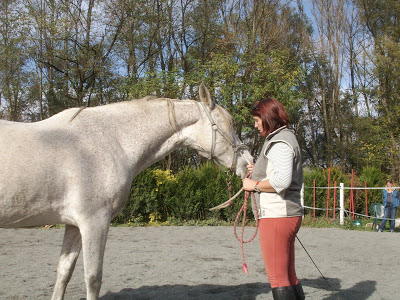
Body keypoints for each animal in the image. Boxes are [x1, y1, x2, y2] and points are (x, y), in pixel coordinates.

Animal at [0, 84, 252, 300]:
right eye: (230, 123)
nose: (248, 162)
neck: (109, 140)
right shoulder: (94, 222)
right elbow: (93, 278)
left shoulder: (73, 224)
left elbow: (64, 272)